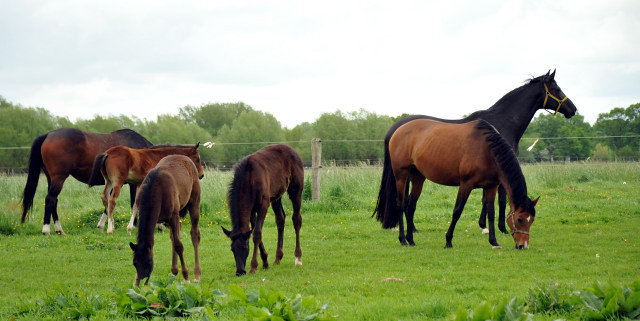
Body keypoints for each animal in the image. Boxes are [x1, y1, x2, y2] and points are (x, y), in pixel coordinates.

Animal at [21, 127, 152, 235]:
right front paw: (134, 226)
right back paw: (47, 230)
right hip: (59, 178)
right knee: (50, 200)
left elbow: (108, 204)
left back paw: (59, 230)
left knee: (54, 201)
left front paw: (102, 226)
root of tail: (48, 135)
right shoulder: (133, 184)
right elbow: (133, 202)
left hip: (51, 179)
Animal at [128, 154, 202, 286]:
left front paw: (186, 276)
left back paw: (197, 274)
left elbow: (179, 245)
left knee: (194, 234)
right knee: (174, 235)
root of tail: (185, 158)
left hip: (194, 203)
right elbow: (174, 240)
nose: (141, 282)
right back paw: (174, 271)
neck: (156, 190)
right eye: (135, 263)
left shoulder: (173, 216)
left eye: (148, 263)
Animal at [221, 143, 304, 276]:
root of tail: (292, 150)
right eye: (232, 249)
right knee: (280, 219)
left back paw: (298, 258)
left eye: (245, 248)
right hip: (276, 197)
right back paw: (277, 257)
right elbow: (256, 231)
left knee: (296, 219)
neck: (249, 178)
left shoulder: (263, 206)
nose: (240, 271)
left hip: (295, 190)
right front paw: (265, 262)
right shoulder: (251, 211)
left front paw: (253, 266)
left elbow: (256, 233)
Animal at [372, 70, 572, 235]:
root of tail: (396, 129)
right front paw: (500, 228)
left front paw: (484, 226)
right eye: (556, 89)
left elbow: (486, 199)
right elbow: (500, 200)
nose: (573, 109)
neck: (502, 122)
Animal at [378, 118, 536, 248]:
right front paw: (448, 240)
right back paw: (403, 240)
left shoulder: (491, 187)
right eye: (520, 219)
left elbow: (491, 213)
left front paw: (494, 242)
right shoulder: (466, 184)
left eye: (532, 220)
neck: (486, 150)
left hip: (418, 177)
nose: (523, 245)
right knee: (400, 204)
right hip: (401, 175)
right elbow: (457, 211)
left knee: (411, 206)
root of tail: (397, 131)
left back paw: (411, 240)